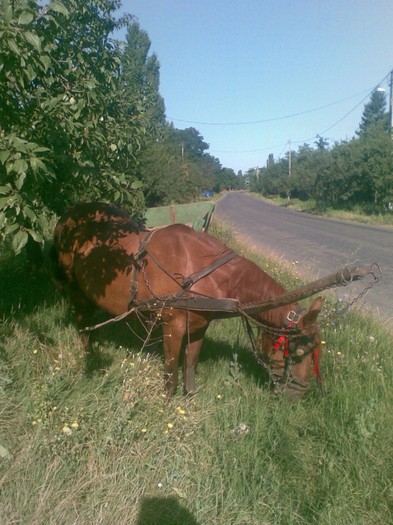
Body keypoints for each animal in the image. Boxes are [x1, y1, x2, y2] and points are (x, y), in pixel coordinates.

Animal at [51, 203, 322, 400]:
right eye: (298, 353)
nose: (299, 394)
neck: (201, 271)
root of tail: (68, 216)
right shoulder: (172, 326)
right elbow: (171, 373)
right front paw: (167, 405)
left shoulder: (199, 327)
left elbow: (190, 365)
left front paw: (189, 397)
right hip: (74, 287)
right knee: (82, 323)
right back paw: (88, 354)